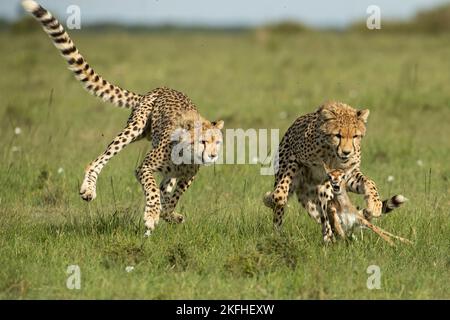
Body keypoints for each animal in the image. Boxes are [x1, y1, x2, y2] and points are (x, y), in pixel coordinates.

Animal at [264, 101, 384, 241]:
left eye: (355, 136)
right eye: (338, 135)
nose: (346, 152)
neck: (332, 152)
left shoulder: (347, 175)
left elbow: (370, 182)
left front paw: (375, 205)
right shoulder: (295, 157)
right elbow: (283, 185)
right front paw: (277, 196)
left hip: (312, 198)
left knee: (324, 214)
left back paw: (331, 235)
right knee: (280, 214)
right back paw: (277, 233)